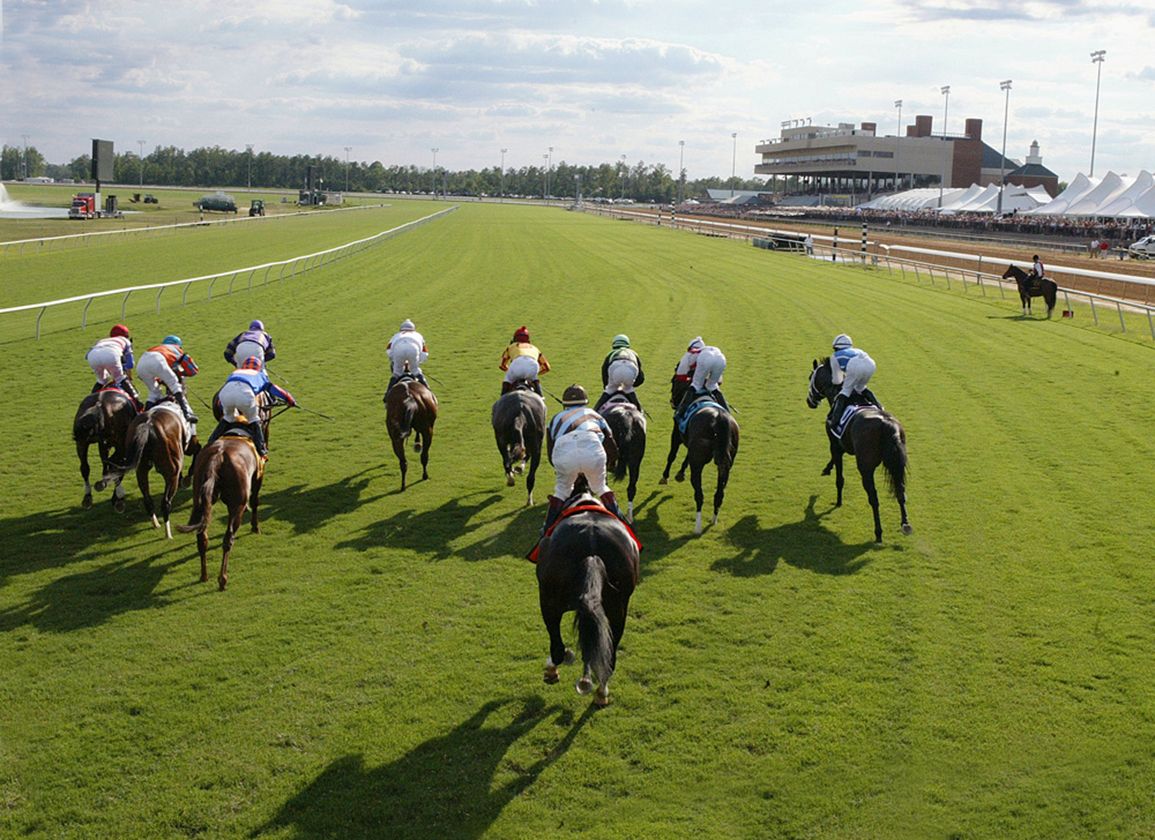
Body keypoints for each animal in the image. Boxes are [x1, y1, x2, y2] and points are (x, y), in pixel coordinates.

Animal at [99, 402, 200, 538]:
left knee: (148, 500)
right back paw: (168, 533)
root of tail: (148, 425)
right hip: (170, 471)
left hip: (141, 470)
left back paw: (155, 523)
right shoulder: (189, 445)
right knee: (165, 502)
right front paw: (188, 477)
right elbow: (198, 450)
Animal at [531, 492, 642, 711]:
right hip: (617, 609)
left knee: (557, 647)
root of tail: (592, 551)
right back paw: (601, 692)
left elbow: (557, 646)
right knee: (609, 656)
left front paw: (554, 667)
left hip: (549, 600)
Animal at [660, 378, 739, 536]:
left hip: (698, 464)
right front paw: (680, 473)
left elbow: (672, 455)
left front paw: (665, 476)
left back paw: (697, 527)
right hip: (726, 464)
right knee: (719, 494)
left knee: (699, 494)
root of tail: (719, 418)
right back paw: (713, 520)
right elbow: (686, 457)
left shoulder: (677, 434)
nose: (672, 401)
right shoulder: (692, 445)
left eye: (673, 381)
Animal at [803, 355, 910, 543]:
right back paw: (904, 523)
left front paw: (838, 501)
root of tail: (887, 424)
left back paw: (878, 532)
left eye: (811, 377)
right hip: (896, 463)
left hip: (866, 467)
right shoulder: (842, 445)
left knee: (873, 498)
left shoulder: (835, 444)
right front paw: (827, 468)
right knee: (900, 490)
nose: (809, 401)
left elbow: (839, 478)